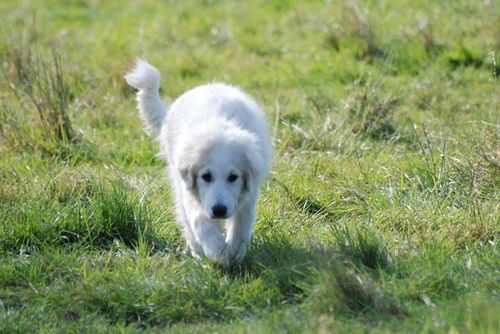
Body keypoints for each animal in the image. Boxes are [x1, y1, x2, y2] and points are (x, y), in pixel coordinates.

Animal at [125, 60, 274, 266]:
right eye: (206, 176)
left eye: (233, 177)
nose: (219, 210)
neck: (219, 126)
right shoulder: (192, 192)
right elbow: (201, 222)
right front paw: (217, 252)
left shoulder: (248, 197)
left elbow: (240, 229)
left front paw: (233, 255)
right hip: (179, 184)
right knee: (187, 223)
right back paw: (199, 254)